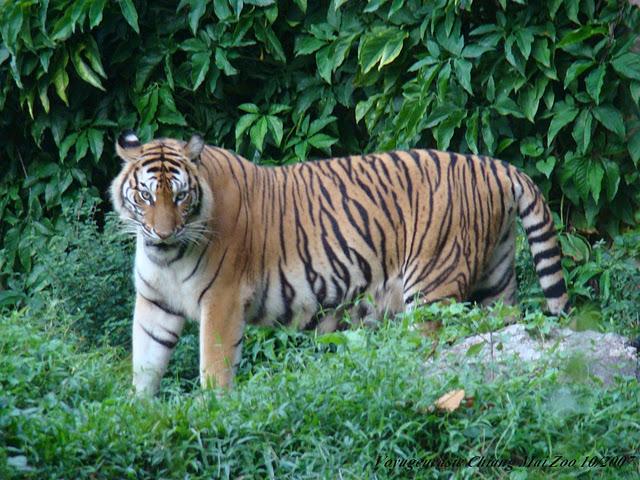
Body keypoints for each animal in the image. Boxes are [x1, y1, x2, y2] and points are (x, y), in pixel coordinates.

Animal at [110, 131, 569, 395]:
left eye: (181, 196)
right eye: (147, 196)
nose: (163, 232)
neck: (167, 257)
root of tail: (495, 164)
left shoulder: (221, 301)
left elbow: (214, 366)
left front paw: (213, 414)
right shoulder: (155, 304)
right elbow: (145, 364)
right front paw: (140, 412)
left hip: (431, 289)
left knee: (435, 350)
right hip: (497, 279)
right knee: (501, 332)